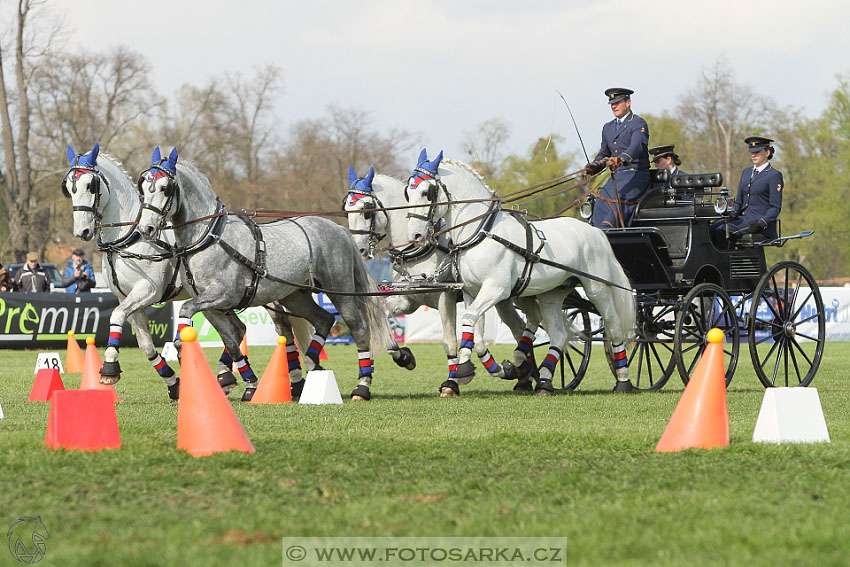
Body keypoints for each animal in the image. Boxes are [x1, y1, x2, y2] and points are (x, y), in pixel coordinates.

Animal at [61, 144, 312, 402]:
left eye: (91, 185)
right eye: (68, 187)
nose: (82, 231)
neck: (130, 236)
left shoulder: (147, 292)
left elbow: (116, 315)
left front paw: (109, 367)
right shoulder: (129, 299)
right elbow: (146, 345)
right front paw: (174, 385)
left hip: (264, 293)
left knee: (282, 329)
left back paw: (295, 382)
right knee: (238, 329)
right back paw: (226, 377)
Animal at [137, 149, 394, 402]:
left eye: (165, 188)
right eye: (143, 188)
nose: (146, 229)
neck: (209, 236)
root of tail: (340, 230)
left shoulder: (223, 295)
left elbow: (188, 312)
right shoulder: (211, 306)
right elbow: (231, 343)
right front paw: (249, 385)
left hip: (341, 291)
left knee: (358, 328)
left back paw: (361, 387)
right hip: (295, 295)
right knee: (324, 319)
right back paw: (312, 366)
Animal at [344, 165, 544, 394]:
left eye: (366, 210)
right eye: (347, 209)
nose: (358, 250)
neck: (419, 250)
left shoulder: (445, 297)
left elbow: (449, 340)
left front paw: (451, 383)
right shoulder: (408, 300)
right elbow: (385, 322)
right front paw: (404, 357)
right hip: (503, 298)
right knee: (519, 328)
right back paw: (524, 376)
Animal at [406, 151, 636, 394]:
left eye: (427, 192)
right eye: (407, 191)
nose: (415, 236)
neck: (480, 233)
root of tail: (596, 232)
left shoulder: (496, 289)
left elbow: (470, 321)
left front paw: (466, 369)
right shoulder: (472, 292)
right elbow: (475, 332)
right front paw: (497, 368)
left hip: (597, 288)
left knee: (614, 325)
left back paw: (623, 380)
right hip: (552, 293)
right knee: (558, 334)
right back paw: (543, 380)